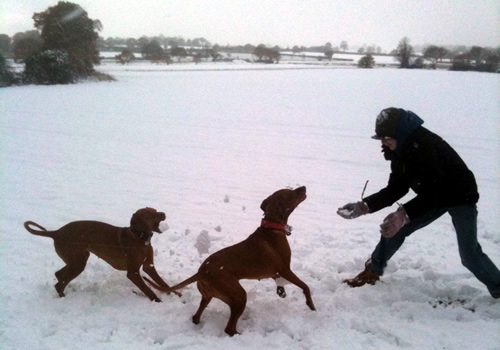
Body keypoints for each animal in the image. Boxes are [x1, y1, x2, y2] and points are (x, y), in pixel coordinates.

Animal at [24, 208, 180, 300]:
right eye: (148, 213)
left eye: (155, 210)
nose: (163, 214)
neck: (140, 238)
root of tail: (56, 232)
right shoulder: (133, 272)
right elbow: (149, 290)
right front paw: (158, 301)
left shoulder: (149, 266)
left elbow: (163, 283)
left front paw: (177, 294)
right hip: (78, 262)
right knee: (59, 283)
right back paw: (63, 297)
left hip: (77, 259)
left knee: (59, 275)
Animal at [146, 187, 314, 334]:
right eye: (291, 191)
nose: (304, 187)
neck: (272, 228)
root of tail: (201, 272)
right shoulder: (285, 269)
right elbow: (305, 286)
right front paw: (311, 305)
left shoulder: (276, 272)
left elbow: (279, 283)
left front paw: (281, 292)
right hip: (238, 296)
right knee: (229, 329)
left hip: (208, 296)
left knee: (196, 316)